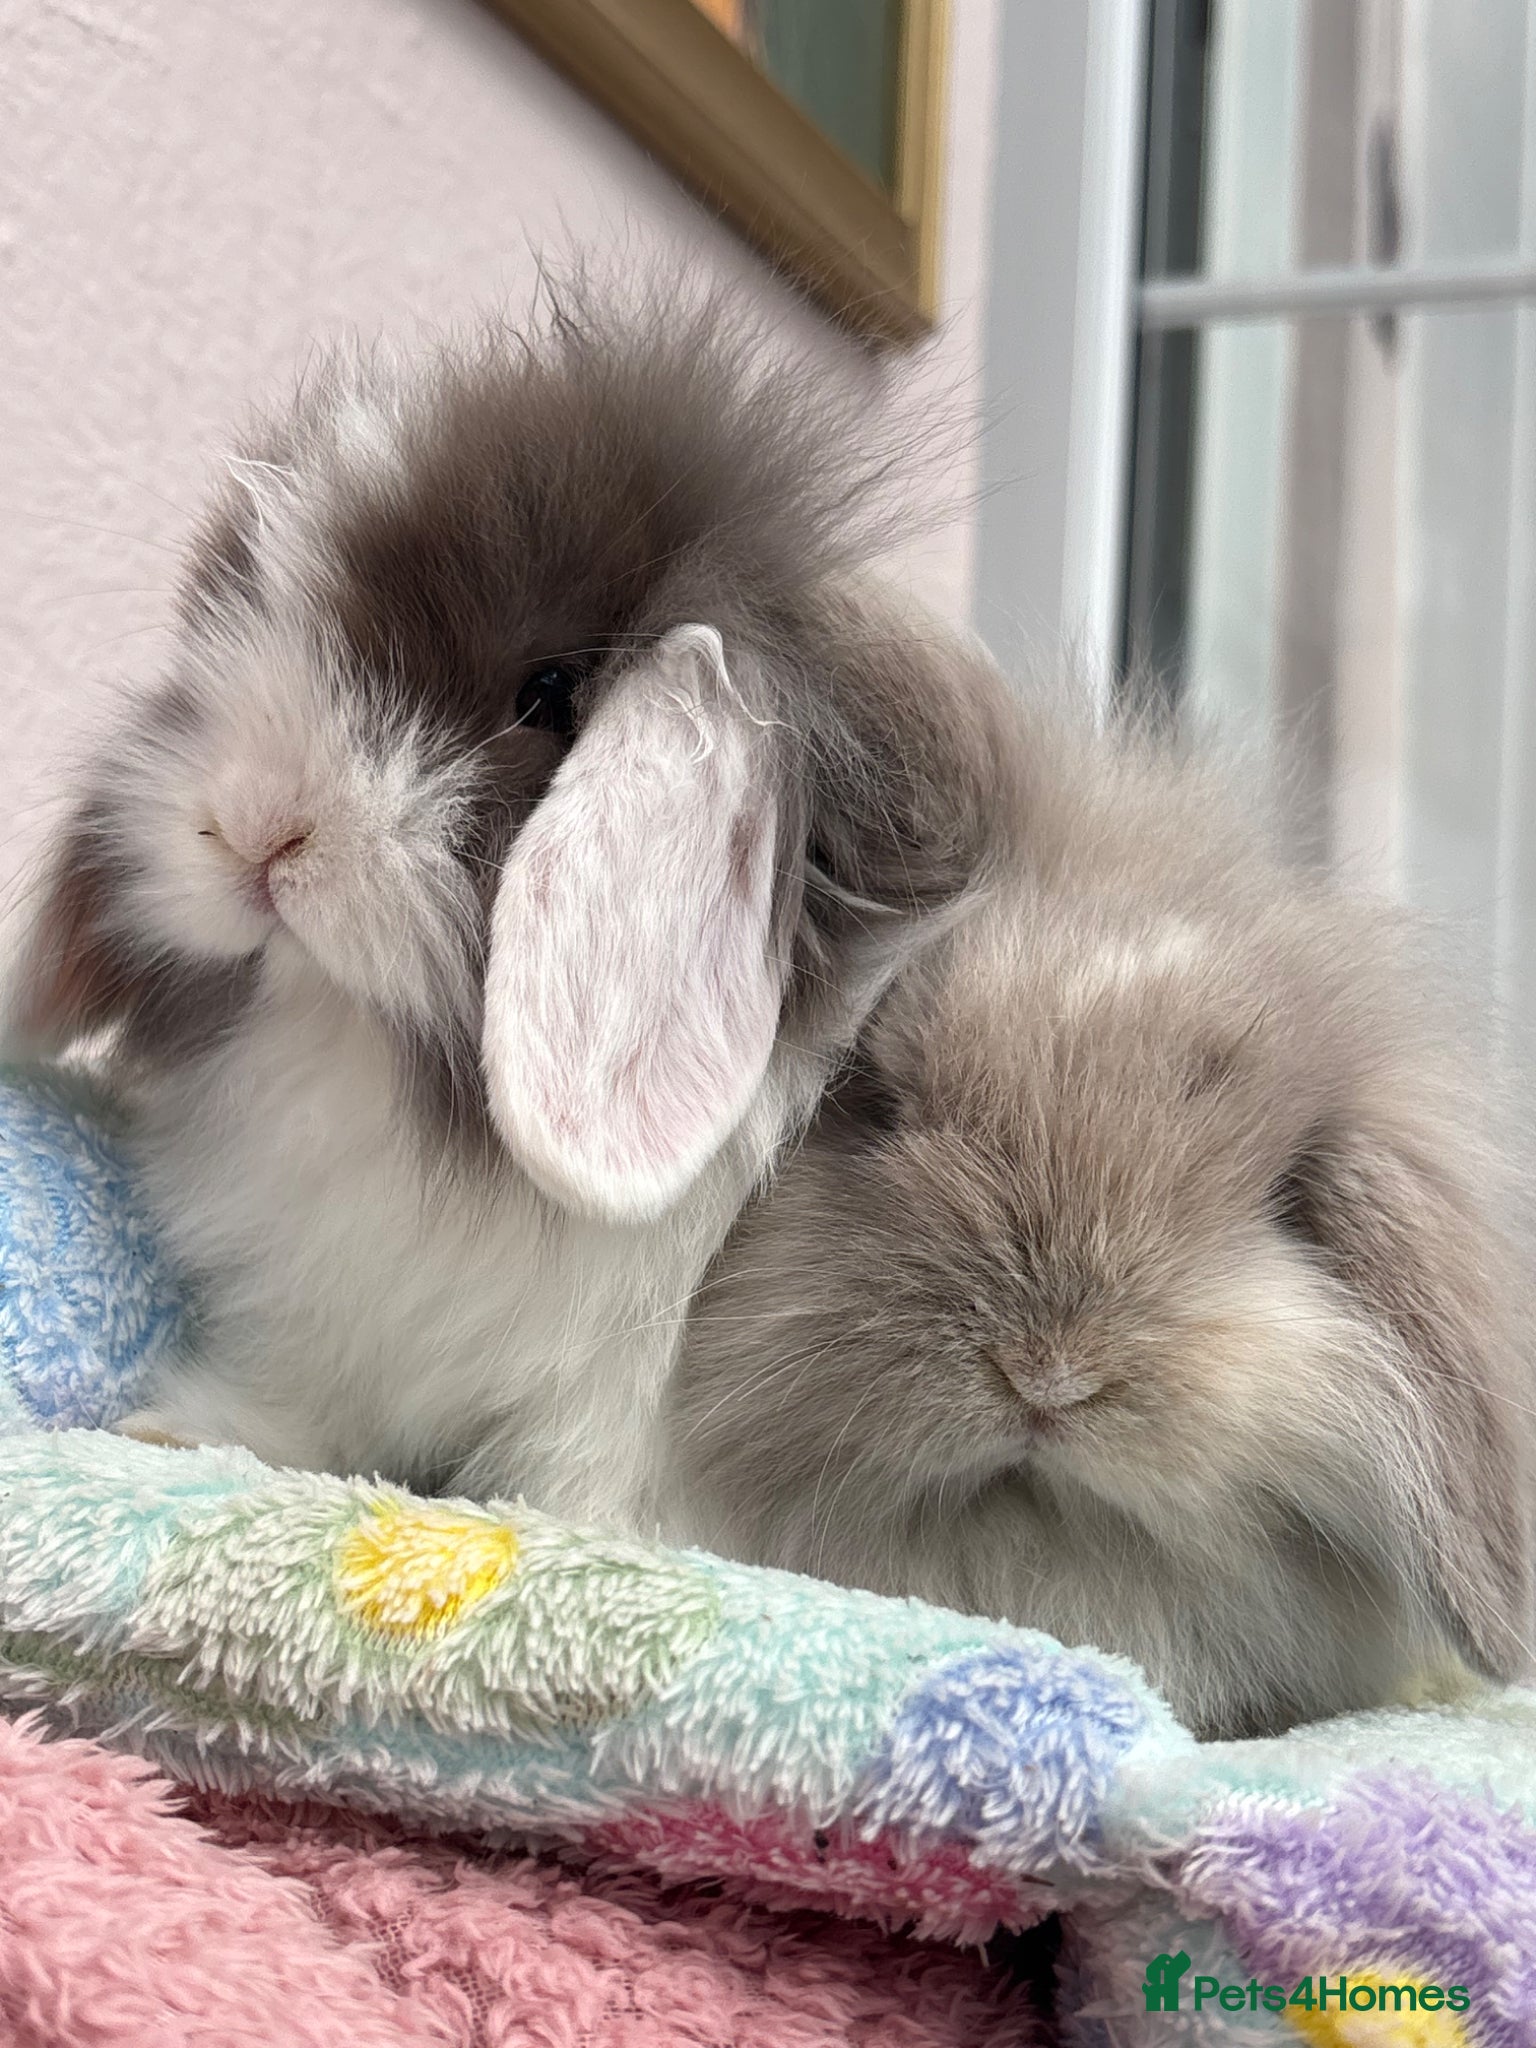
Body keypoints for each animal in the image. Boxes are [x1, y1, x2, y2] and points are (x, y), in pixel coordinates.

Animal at [1, 281, 1023, 1521]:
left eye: (546, 696)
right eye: (229, 624)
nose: (252, 823)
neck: (362, 1066)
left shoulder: (622, 1377)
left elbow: (587, 1481)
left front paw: (559, 1527)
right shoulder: (325, 1323)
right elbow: (296, 1403)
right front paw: (177, 1432)